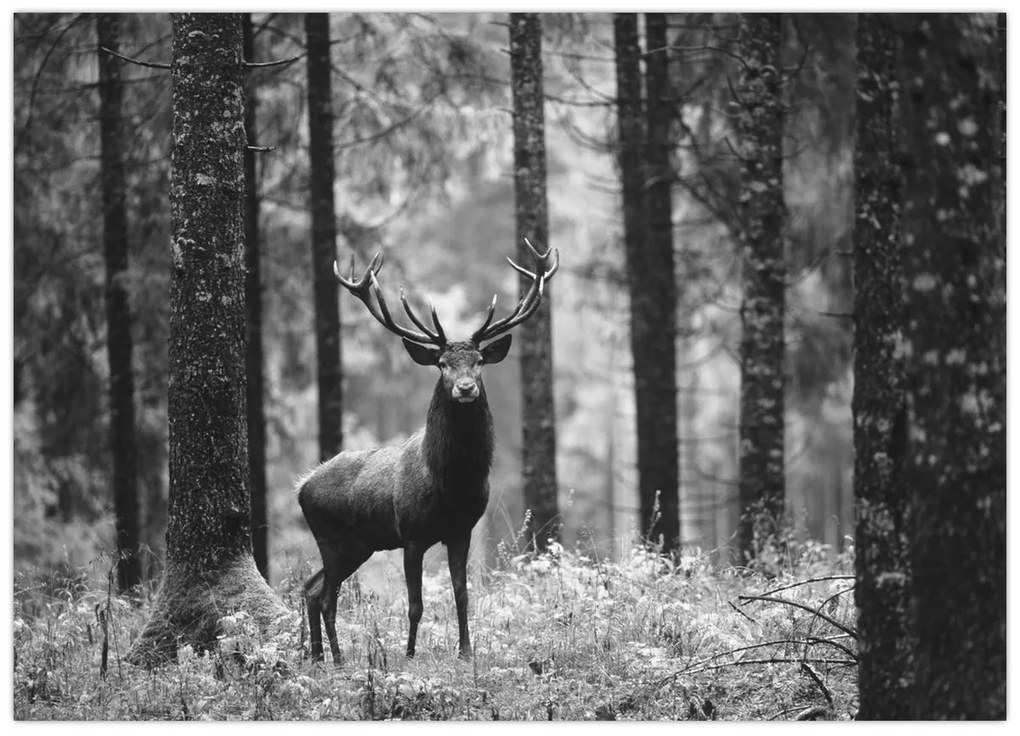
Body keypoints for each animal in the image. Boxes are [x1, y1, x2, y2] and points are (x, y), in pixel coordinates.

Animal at [297, 237, 563, 660]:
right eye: (441, 363)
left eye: (479, 361)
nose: (465, 388)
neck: (450, 483)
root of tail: (302, 486)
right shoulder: (411, 534)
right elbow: (415, 603)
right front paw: (408, 655)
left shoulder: (462, 530)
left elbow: (461, 594)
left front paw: (466, 651)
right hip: (332, 538)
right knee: (325, 596)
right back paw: (336, 659)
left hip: (358, 544)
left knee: (312, 588)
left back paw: (321, 657)